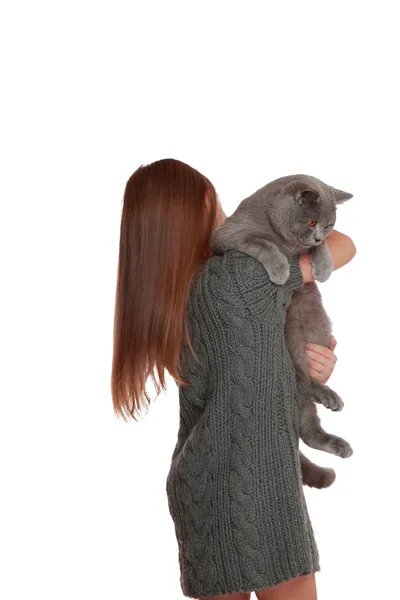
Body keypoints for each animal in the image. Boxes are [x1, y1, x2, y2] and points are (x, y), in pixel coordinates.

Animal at [211, 172, 354, 488]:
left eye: (329, 225)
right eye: (311, 222)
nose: (318, 235)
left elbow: (319, 249)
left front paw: (323, 265)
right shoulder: (230, 233)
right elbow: (262, 243)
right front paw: (280, 270)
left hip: (313, 322)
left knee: (307, 412)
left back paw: (331, 409)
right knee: (304, 400)